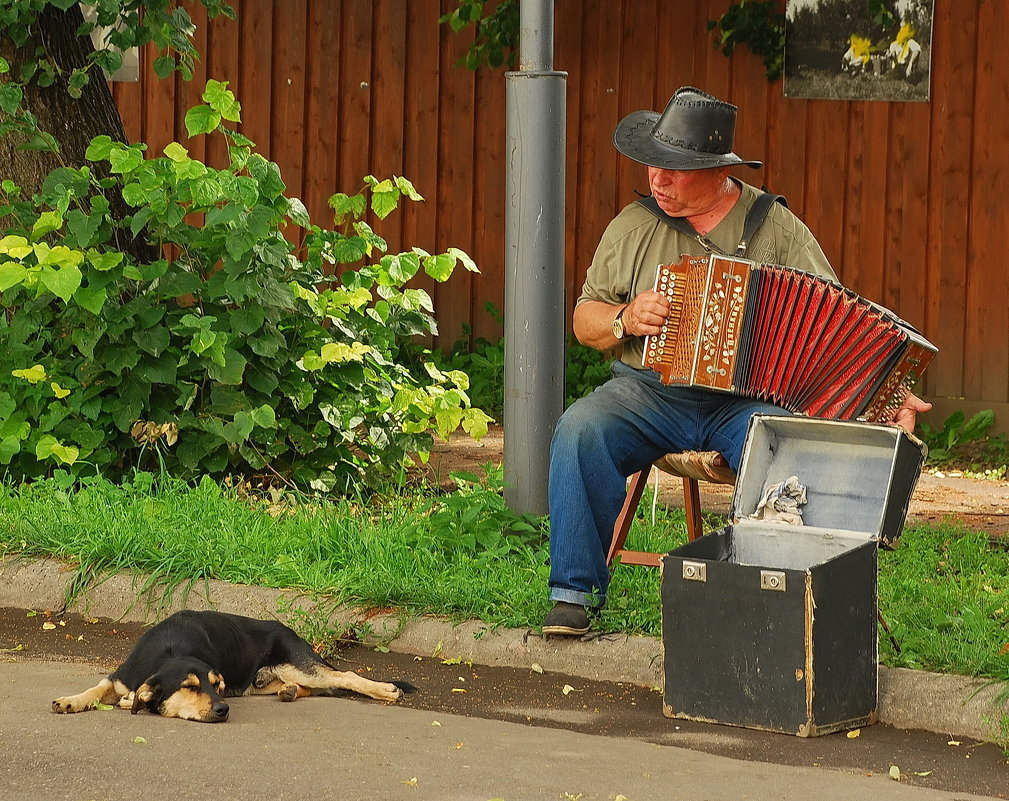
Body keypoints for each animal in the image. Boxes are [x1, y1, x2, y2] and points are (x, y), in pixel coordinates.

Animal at [50, 609, 413, 722]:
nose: (223, 709)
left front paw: (129, 702)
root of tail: (287, 629)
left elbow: (129, 698)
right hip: (261, 681)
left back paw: (386, 690)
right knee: (311, 686)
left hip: (295, 662)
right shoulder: (120, 677)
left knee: (344, 676)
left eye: (217, 686)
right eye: (189, 686)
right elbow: (95, 688)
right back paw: (290, 692)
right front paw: (70, 701)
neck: (170, 649)